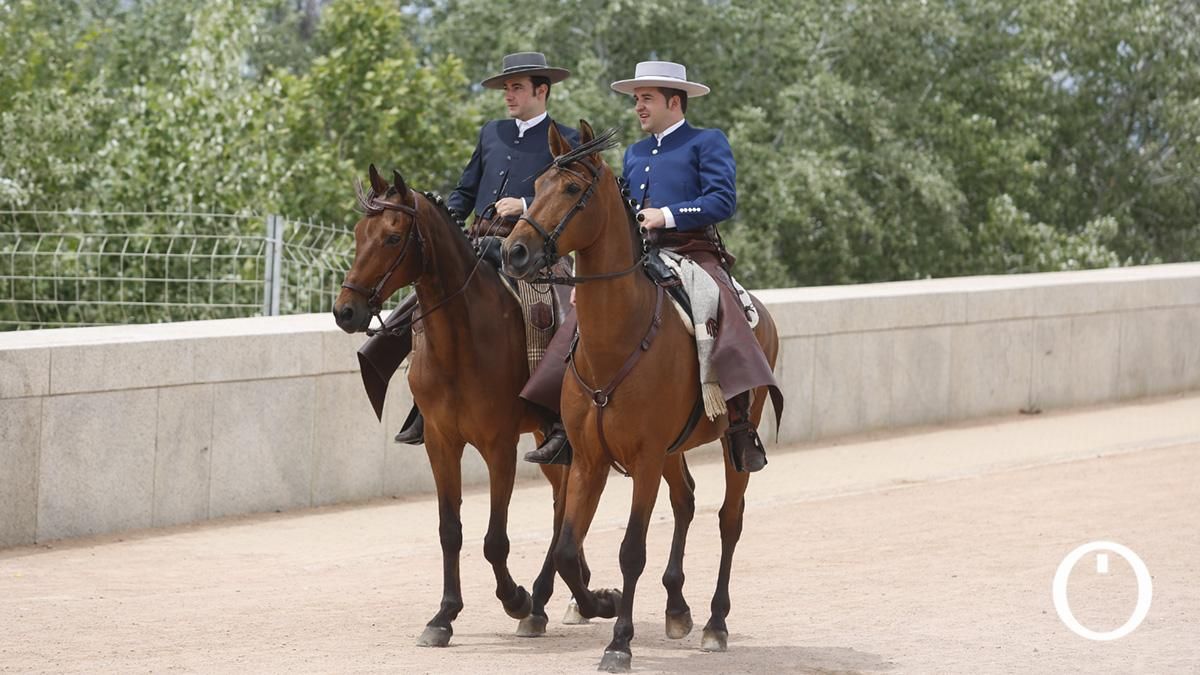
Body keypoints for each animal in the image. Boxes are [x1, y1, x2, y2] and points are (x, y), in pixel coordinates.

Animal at [332, 165, 588, 646]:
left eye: (392, 237)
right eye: (358, 234)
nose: (345, 311)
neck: (461, 338)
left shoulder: (499, 446)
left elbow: (494, 540)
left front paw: (516, 599)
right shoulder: (440, 442)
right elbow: (450, 531)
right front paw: (443, 616)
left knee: (562, 507)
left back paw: (541, 600)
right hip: (543, 437)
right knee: (559, 500)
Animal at [500, 124, 781, 672]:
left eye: (571, 189)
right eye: (538, 183)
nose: (514, 251)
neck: (616, 339)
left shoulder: (645, 458)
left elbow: (632, 549)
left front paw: (620, 641)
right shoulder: (590, 459)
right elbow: (567, 548)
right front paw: (601, 603)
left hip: (730, 444)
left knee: (728, 520)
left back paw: (716, 623)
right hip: (671, 451)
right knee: (686, 499)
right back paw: (677, 608)